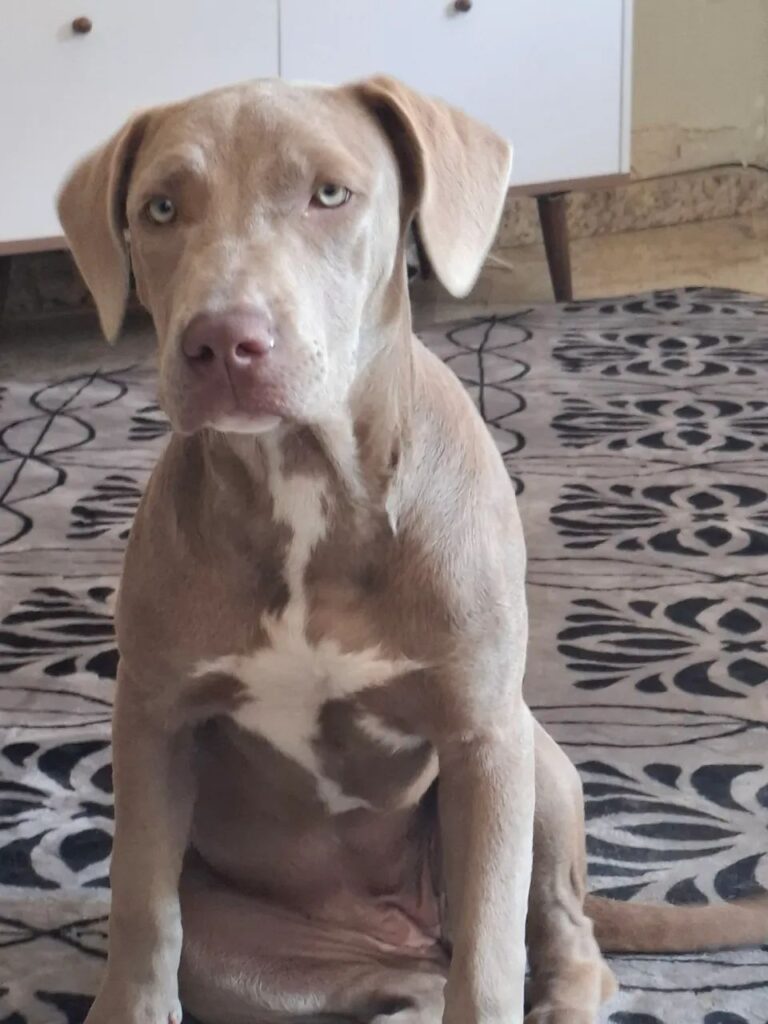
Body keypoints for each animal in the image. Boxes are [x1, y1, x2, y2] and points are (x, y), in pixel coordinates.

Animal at [58, 76, 768, 1024]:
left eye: (330, 193)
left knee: (558, 939)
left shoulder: (481, 735)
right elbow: (141, 905)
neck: (308, 488)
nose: (223, 341)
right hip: (250, 952)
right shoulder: (151, 718)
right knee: (402, 988)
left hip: (536, 760)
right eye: (161, 207)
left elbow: (493, 954)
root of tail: (399, 931)